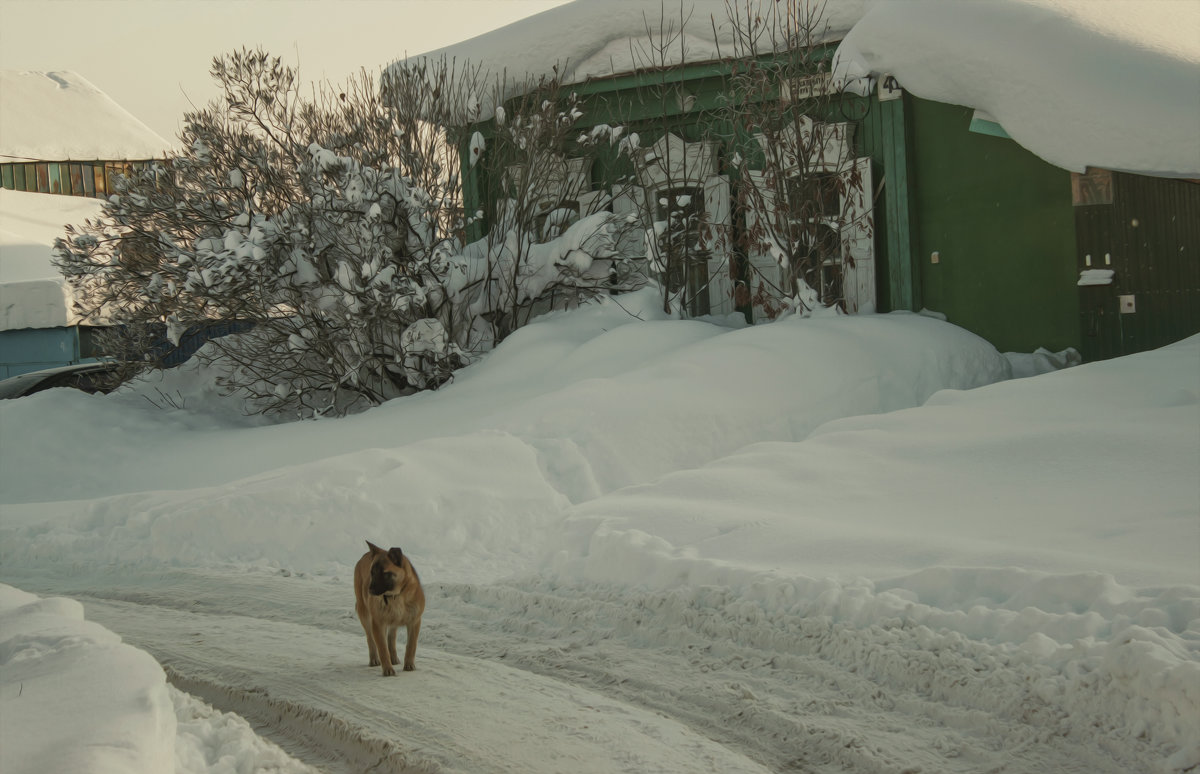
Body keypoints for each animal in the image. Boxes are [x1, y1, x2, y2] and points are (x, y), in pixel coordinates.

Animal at [352, 540, 424, 672]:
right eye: (372, 572)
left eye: (384, 573)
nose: (369, 590)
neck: (396, 595)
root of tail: (366, 554)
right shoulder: (378, 624)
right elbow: (382, 648)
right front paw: (387, 669)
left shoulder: (414, 622)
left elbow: (411, 645)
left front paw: (409, 664)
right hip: (364, 614)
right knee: (370, 639)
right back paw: (374, 659)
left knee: (391, 637)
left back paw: (394, 658)